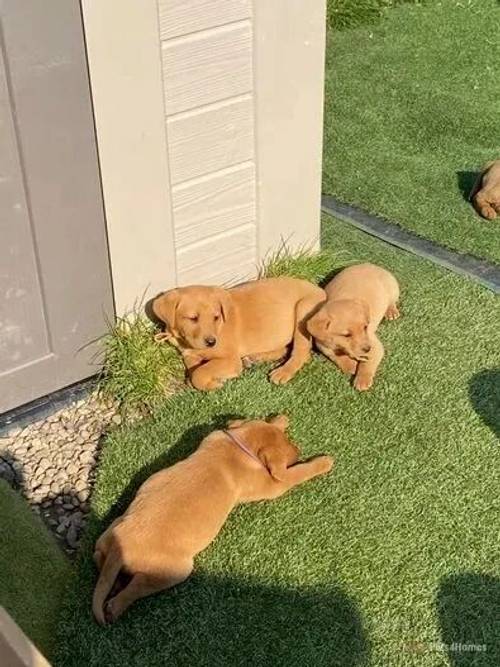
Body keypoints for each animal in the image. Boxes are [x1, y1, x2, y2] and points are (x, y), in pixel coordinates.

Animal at [93, 418, 336, 628]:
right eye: (291, 454)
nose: (299, 450)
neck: (239, 446)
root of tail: (120, 548)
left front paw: (279, 419)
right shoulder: (273, 485)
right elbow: (298, 474)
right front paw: (323, 462)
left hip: (110, 530)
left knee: (99, 561)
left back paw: (113, 582)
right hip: (175, 570)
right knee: (137, 587)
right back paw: (115, 605)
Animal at [150, 278, 326, 392]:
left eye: (216, 317)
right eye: (193, 318)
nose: (211, 342)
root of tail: (321, 290)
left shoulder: (231, 359)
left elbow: (200, 372)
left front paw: (212, 383)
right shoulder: (189, 354)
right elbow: (194, 368)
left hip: (304, 310)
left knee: (301, 352)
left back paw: (283, 372)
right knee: (285, 348)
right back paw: (254, 358)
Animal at [304, 264, 398, 392]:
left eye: (365, 327)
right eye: (346, 335)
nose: (367, 349)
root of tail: (373, 265)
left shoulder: (375, 345)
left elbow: (369, 363)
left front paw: (362, 380)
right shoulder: (321, 343)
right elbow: (334, 355)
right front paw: (350, 365)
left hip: (392, 288)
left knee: (392, 301)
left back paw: (391, 311)